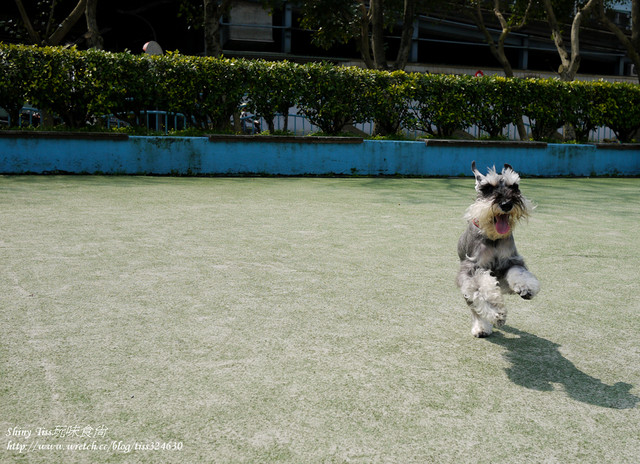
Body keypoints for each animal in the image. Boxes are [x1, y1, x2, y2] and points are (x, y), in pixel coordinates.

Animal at [456, 163, 540, 338]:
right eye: (487, 188)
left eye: (514, 186)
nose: (507, 204)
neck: (493, 237)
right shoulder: (471, 270)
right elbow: (481, 291)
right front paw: (495, 309)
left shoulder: (511, 261)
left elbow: (519, 272)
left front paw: (526, 287)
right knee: (473, 306)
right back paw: (481, 327)